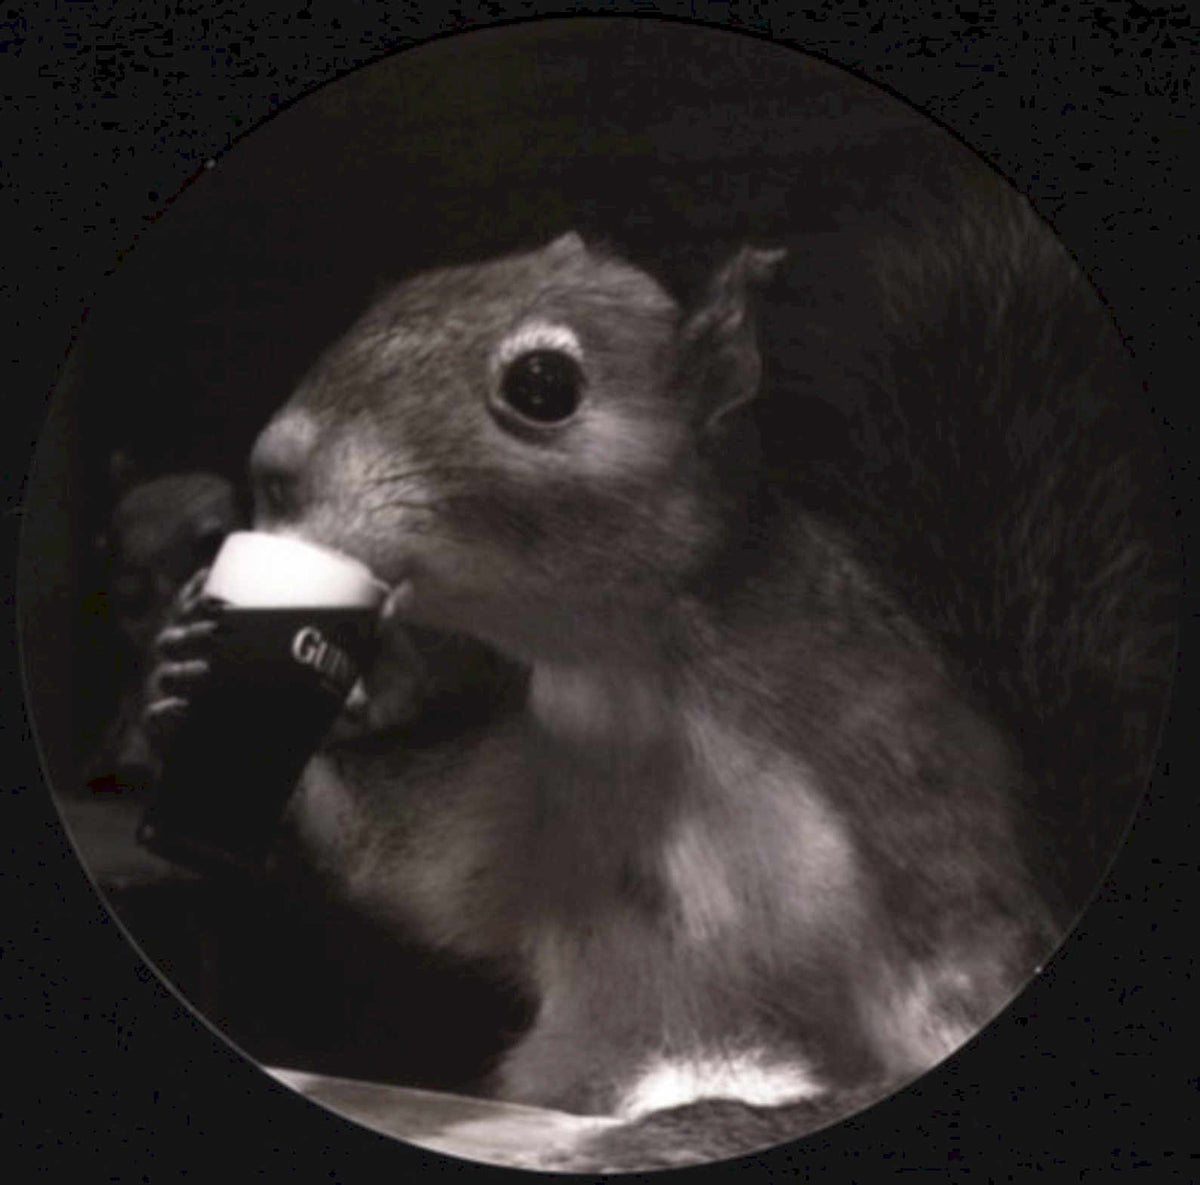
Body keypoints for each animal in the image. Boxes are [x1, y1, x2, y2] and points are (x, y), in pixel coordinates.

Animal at [145, 187, 1176, 1170]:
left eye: (543, 385)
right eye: (400, 292)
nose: (272, 468)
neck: (631, 697)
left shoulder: (905, 837)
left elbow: (932, 1032)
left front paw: (689, 1128)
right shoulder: (524, 797)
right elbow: (396, 866)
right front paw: (183, 679)